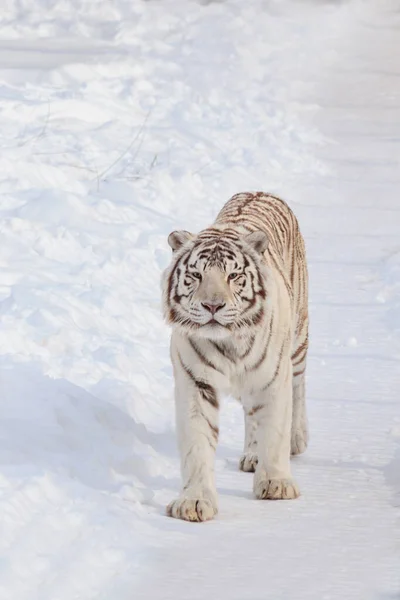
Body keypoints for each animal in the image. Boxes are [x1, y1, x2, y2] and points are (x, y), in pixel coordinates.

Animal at [161, 192, 308, 520]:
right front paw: (194, 501)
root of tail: (260, 191)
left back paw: (297, 439)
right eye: (196, 275)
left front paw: (276, 483)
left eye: (234, 275)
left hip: (298, 343)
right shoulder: (196, 383)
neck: (230, 344)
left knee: (298, 387)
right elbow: (197, 443)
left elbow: (275, 430)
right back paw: (252, 455)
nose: (213, 306)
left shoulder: (273, 378)